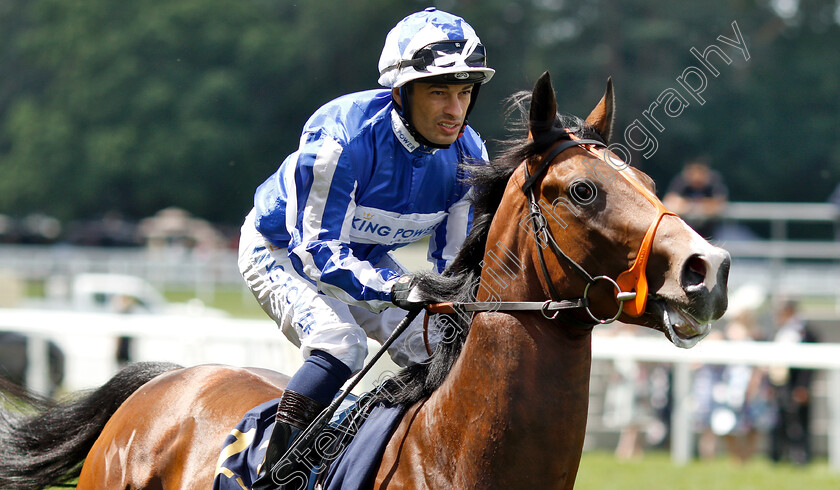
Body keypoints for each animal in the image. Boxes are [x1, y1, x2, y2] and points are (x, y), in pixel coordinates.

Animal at [0, 72, 728, 490]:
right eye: (582, 190)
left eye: (649, 181)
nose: (709, 270)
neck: (450, 452)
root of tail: (166, 383)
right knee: (335, 344)